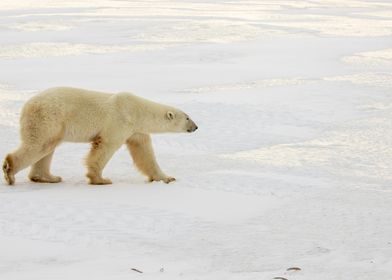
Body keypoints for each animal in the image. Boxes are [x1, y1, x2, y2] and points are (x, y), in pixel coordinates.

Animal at [2, 86, 198, 185]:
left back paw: (48, 177)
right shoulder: (120, 121)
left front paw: (166, 177)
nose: (196, 127)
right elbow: (105, 147)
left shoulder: (136, 130)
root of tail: (27, 105)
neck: (137, 111)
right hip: (48, 118)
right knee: (39, 145)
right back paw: (9, 171)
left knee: (47, 148)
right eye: (187, 117)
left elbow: (144, 153)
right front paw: (100, 179)